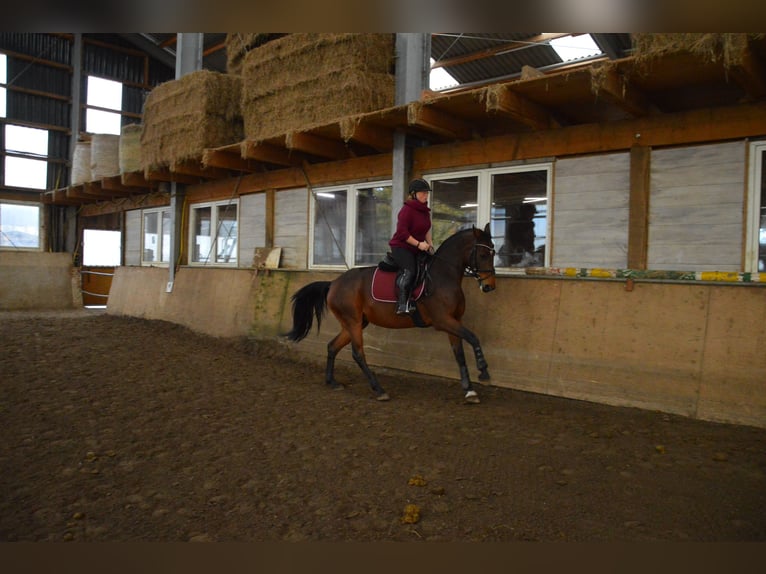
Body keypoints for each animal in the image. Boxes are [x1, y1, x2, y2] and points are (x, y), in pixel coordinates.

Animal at [286, 224, 498, 404]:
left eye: (493, 252)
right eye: (482, 254)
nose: (489, 286)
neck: (443, 276)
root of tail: (333, 284)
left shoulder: (454, 320)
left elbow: (459, 354)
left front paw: (469, 390)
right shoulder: (443, 321)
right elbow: (473, 337)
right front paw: (484, 371)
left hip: (355, 323)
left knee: (332, 346)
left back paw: (332, 382)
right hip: (353, 322)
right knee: (358, 353)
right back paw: (379, 390)